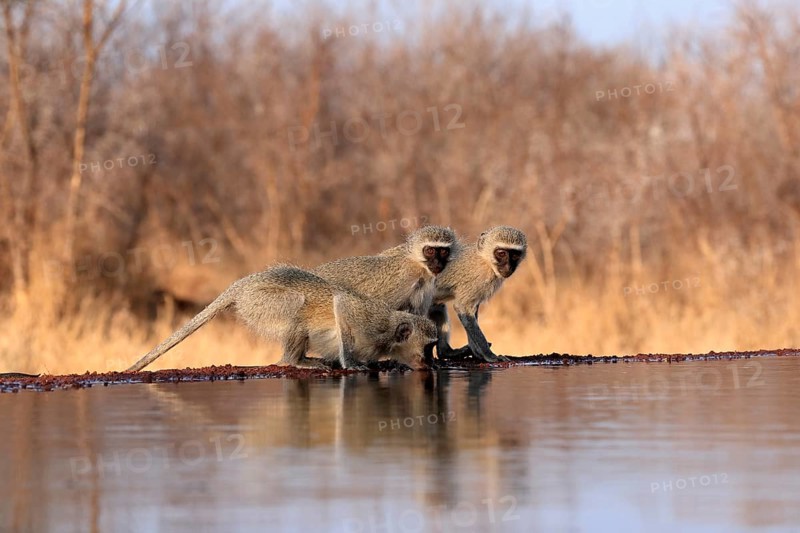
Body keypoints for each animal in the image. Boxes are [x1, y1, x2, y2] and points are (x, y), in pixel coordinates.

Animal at [126, 265, 438, 372]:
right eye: (427, 347)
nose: (430, 363)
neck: (389, 339)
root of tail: (245, 283)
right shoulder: (371, 323)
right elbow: (341, 304)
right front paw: (350, 364)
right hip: (260, 302)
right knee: (296, 307)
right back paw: (294, 361)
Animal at [428, 226, 527, 363]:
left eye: (515, 254)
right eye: (501, 253)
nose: (508, 267)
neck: (485, 260)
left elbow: (472, 312)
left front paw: (477, 353)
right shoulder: (476, 281)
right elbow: (462, 308)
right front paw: (489, 355)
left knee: (437, 308)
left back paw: (445, 352)